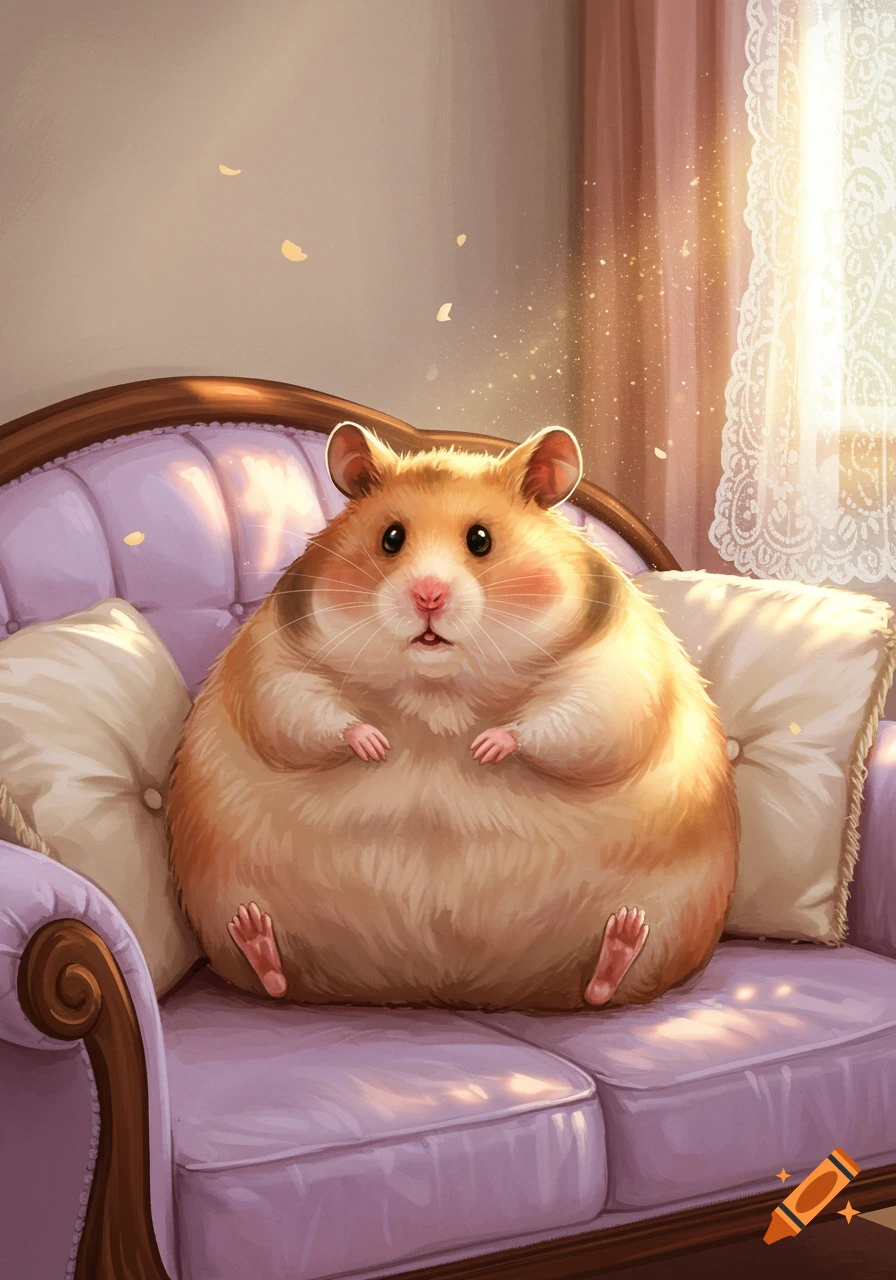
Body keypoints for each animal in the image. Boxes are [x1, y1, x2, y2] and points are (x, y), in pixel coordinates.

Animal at [166, 422, 739, 1011]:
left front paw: (485, 747)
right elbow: (301, 710)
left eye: (480, 540)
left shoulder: (616, 670)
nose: (428, 596)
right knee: (276, 981)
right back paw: (256, 936)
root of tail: (453, 986)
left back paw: (620, 940)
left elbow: (571, 720)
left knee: (602, 989)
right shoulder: (272, 659)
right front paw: (377, 744)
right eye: (391, 537)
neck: (438, 689)